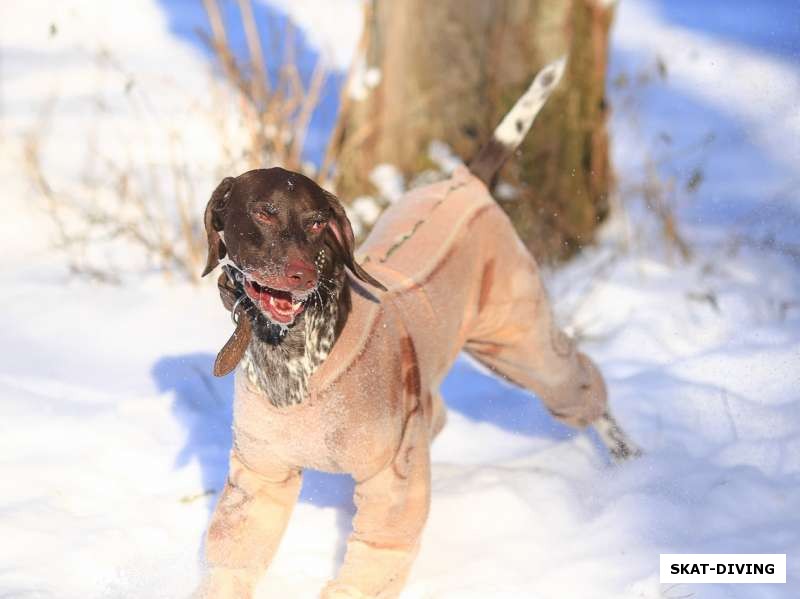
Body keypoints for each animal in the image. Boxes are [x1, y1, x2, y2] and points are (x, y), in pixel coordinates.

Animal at [197, 57, 640, 599]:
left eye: (318, 222)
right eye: (263, 211)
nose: (301, 274)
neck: (295, 357)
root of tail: (466, 181)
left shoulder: (392, 480)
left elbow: (374, 560)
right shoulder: (260, 475)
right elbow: (233, 556)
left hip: (522, 344)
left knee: (582, 391)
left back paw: (631, 457)